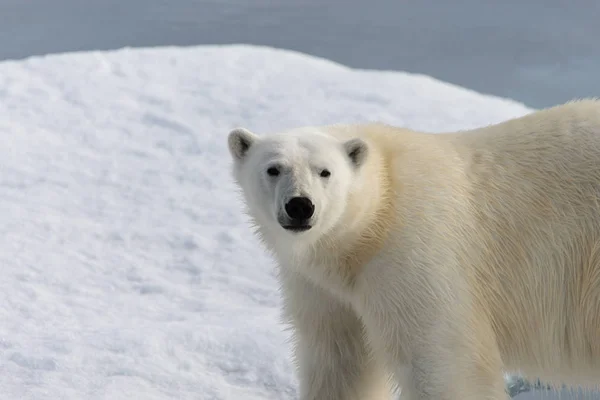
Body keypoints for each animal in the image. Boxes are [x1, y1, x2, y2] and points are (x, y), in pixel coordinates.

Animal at [225, 99, 600, 400]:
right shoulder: (323, 289)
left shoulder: (414, 251)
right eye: (273, 169)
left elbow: (444, 361)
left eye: (325, 172)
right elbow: (340, 362)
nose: (300, 206)